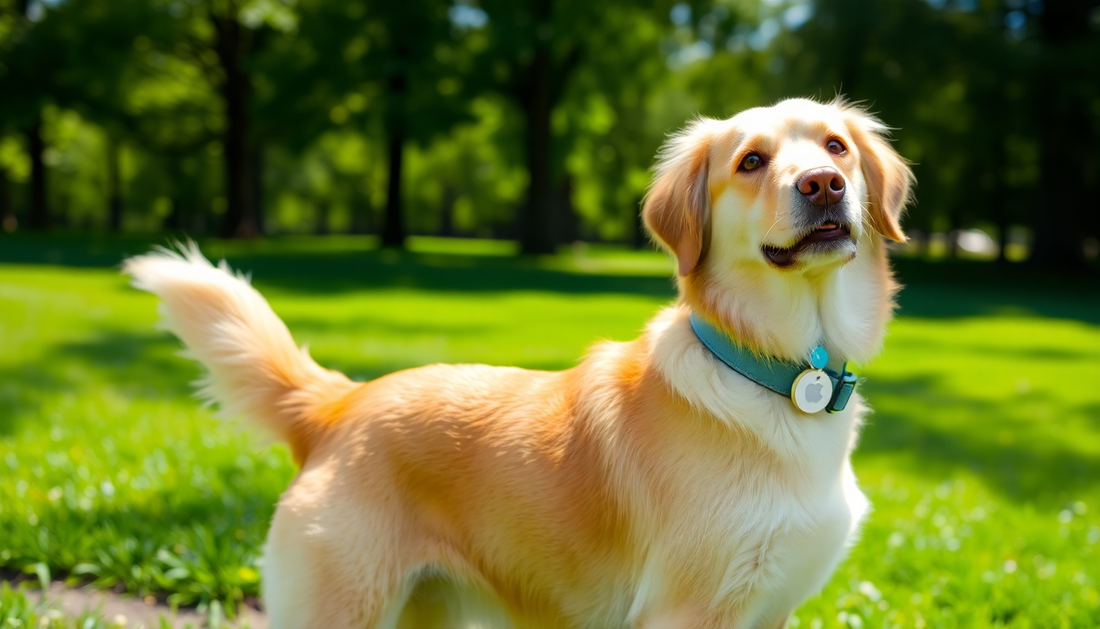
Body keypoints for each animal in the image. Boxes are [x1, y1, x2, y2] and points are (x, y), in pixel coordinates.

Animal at [124, 95, 910, 624]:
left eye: (836, 147)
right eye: (751, 161)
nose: (823, 183)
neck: (783, 371)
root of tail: (341, 401)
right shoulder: (685, 608)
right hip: (342, 606)